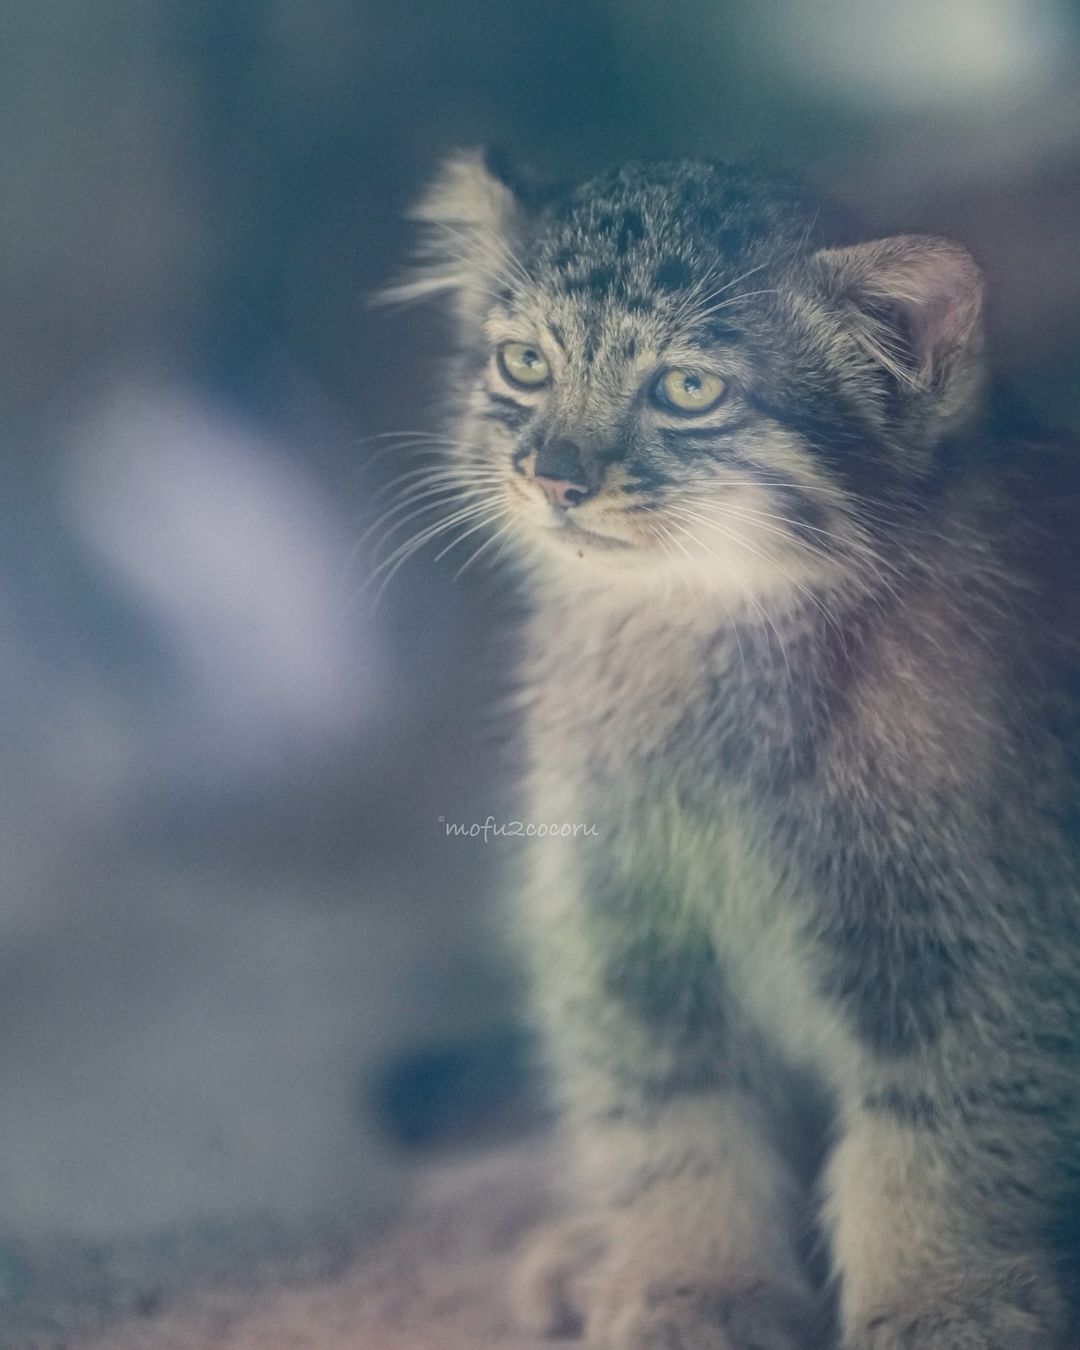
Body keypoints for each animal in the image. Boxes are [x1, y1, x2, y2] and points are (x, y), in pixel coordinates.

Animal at [383, 153, 1080, 1344]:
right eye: (525, 364)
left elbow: (944, 1129)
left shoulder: (993, 932)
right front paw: (694, 1284)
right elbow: (671, 1120)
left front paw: (943, 1296)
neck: (714, 639)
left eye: (687, 390)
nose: (553, 475)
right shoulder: (622, 925)